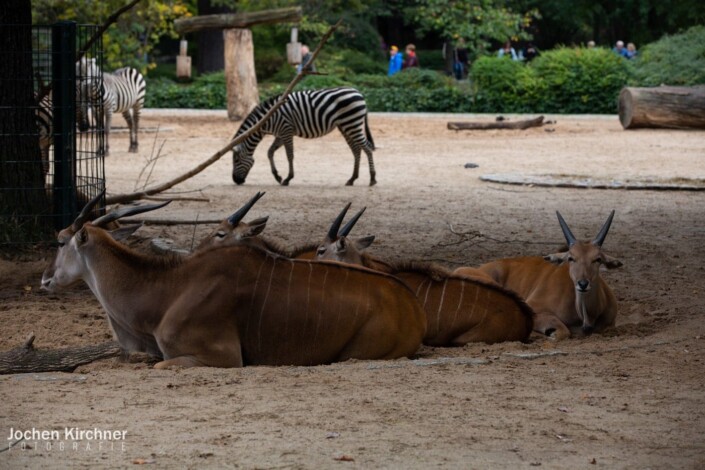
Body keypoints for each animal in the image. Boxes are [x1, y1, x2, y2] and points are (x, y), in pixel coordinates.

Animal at [42, 194, 424, 368]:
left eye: (60, 241)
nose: (45, 280)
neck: (168, 290)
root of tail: (411, 305)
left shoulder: (220, 357)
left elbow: (161, 365)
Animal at [232, 87, 376, 186]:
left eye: (236, 160)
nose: (236, 181)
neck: (268, 119)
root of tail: (358, 92)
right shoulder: (280, 134)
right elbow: (270, 152)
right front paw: (277, 176)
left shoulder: (286, 130)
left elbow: (289, 155)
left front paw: (288, 178)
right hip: (346, 126)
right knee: (357, 150)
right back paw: (352, 179)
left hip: (352, 124)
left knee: (368, 148)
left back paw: (372, 178)